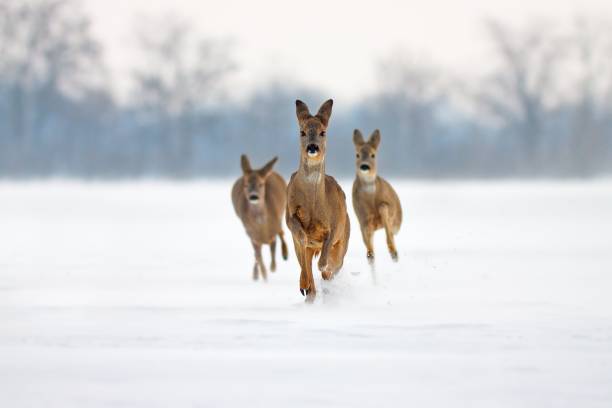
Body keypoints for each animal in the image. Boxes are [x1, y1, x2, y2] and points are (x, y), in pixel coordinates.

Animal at [286, 100, 350, 302]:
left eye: (323, 132)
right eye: (302, 132)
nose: (312, 147)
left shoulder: (335, 225)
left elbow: (324, 260)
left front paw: (324, 268)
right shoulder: (289, 215)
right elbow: (301, 236)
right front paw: (306, 286)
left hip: (344, 239)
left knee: (332, 265)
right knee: (305, 264)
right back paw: (307, 290)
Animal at [354, 129, 402, 266]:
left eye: (373, 155)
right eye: (357, 155)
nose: (364, 166)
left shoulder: (390, 210)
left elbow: (383, 207)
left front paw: (393, 252)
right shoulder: (362, 218)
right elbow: (368, 239)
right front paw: (370, 256)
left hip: (397, 223)